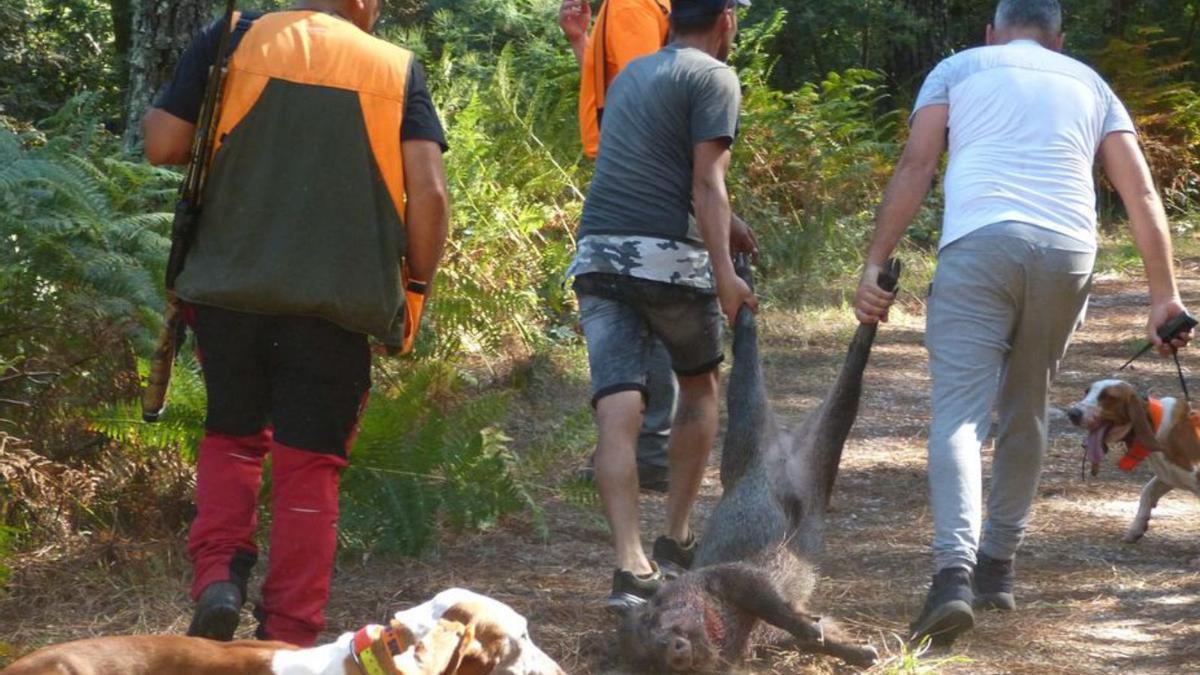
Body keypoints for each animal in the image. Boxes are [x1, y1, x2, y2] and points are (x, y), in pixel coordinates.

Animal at [1070, 379, 1200, 540]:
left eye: (1107, 396)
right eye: (1086, 392)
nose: (1072, 413)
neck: (1154, 425)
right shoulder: (1169, 476)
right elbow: (1147, 492)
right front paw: (1137, 528)